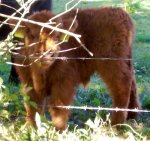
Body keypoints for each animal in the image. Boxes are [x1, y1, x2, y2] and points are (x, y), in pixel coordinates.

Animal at [10, 8, 141, 131]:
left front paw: (59, 129)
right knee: (132, 84)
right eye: (32, 35)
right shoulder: (28, 83)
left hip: (112, 65)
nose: (47, 54)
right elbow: (32, 106)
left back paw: (117, 124)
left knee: (121, 87)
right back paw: (132, 115)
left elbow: (58, 106)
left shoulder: (64, 82)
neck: (40, 72)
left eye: (57, 36)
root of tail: (120, 12)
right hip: (125, 62)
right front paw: (30, 127)